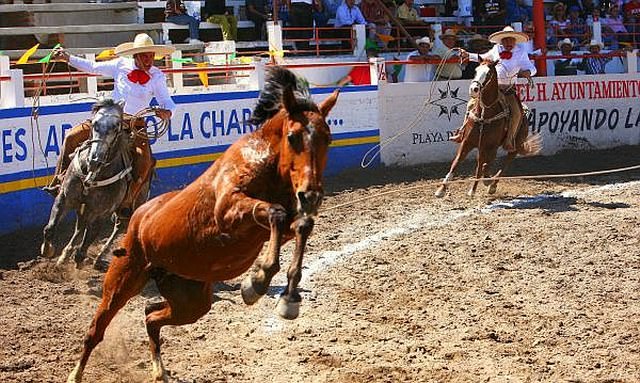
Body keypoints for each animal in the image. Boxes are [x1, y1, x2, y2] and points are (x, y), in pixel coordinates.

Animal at [42, 99, 139, 268]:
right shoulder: (65, 197)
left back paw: (99, 256)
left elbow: (84, 246)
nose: (94, 159)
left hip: (130, 204)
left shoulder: (100, 212)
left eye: (116, 126)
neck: (94, 174)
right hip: (85, 209)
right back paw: (66, 255)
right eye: (95, 124)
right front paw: (48, 250)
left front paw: (78, 260)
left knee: (119, 226)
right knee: (80, 227)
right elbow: (50, 228)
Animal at [65, 67, 340, 382]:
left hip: (190, 300)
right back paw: (75, 374)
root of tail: (138, 217)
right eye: (293, 137)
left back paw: (160, 370)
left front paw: (288, 297)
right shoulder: (229, 212)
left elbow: (301, 225)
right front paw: (257, 282)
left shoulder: (280, 228)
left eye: (327, 138)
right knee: (95, 331)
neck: (263, 165)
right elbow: (276, 214)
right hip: (121, 282)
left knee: (151, 315)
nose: (311, 194)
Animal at [436, 60, 540, 198]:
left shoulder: (488, 146)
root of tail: (524, 115)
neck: (485, 114)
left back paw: (492, 185)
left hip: (513, 145)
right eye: (475, 70)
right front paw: (441, 189)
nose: (474, 89)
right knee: (487, 162)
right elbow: (456, 162)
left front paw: (474, 189)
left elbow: (480, 165)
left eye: (489, 73)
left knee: (506, 162)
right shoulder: (467, 143)